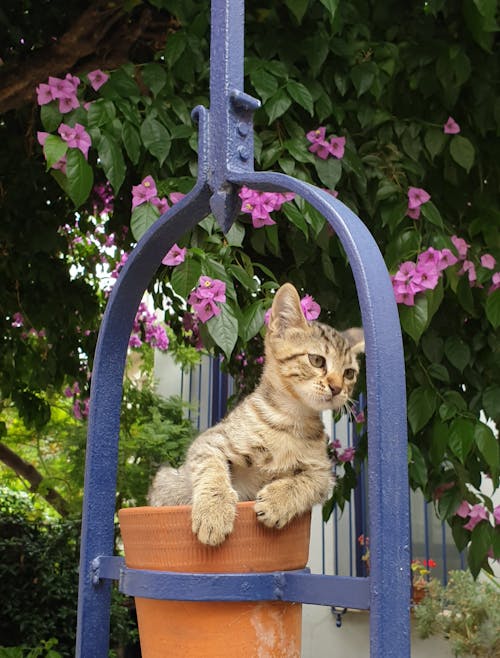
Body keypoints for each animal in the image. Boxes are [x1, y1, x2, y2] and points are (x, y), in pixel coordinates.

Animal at [147, 282, 364, 544]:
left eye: (349, 373)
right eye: (317, 360)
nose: (337, 388)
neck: (291, 419)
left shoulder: (322, 473)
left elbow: (305, 482)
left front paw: (277, 501)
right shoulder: (211, 440)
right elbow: (211, 468)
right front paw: (214, 511)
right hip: (170, 480)